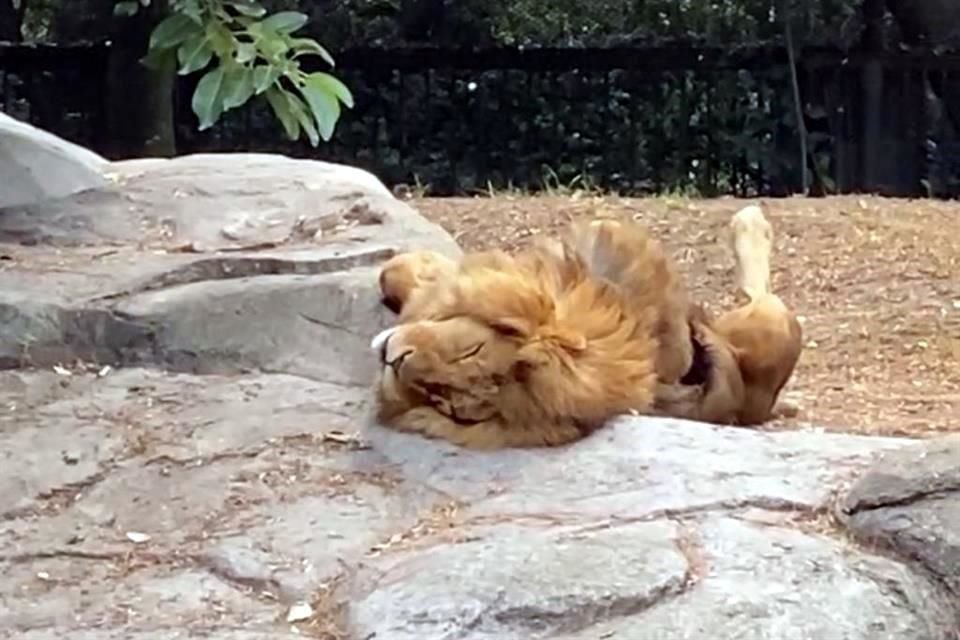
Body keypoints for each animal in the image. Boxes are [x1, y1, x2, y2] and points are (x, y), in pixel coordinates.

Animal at [368, 202, 804, 448]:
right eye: (442, 398)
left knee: (763, 295)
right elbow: (397, 271)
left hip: (772, 327)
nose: (393, 360)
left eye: (451, 406)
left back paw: (751, 222)